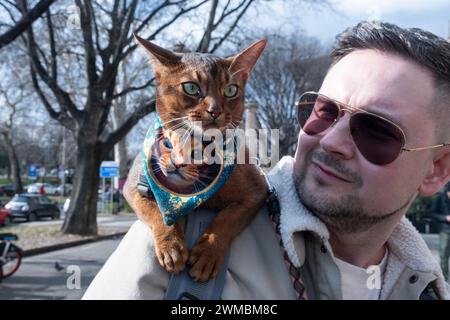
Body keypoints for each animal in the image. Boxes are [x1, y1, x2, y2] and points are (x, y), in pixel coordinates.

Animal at [124, 33, 268, 282]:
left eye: (231, 90)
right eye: (191, 87)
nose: (215, 111)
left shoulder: (257, 189)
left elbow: (227, 218)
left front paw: (207, 254)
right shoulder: (133, 186)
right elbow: (157, 211)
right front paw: (171, 246)